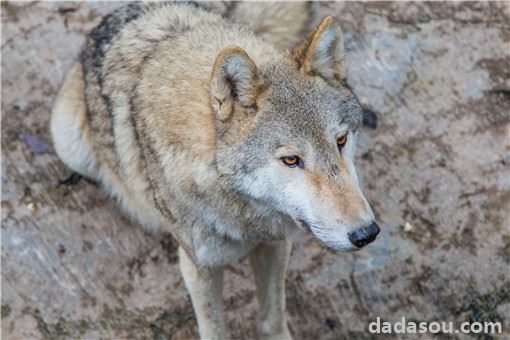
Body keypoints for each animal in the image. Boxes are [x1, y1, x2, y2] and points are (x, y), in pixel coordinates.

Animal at [50, 1, 378, 338]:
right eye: (291, 160)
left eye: (341, 141)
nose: (366, 233)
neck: (245, 216)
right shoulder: (200, 267)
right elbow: (214, 329)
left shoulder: (275, 244)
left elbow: (272, 317)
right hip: (68, 142)